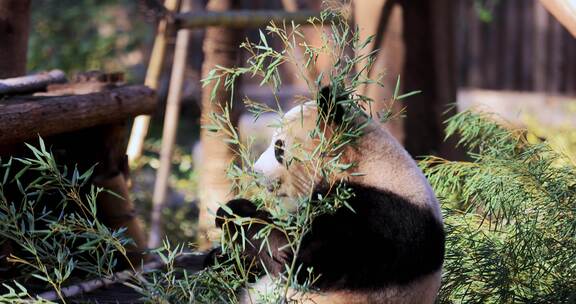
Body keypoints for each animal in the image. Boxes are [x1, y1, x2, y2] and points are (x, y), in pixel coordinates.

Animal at [215, 85, 446, 304]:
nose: (255, 172)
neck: (367, 167)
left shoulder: (380, 220)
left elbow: (294, 260)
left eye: (279, 148)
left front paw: (235, 211)